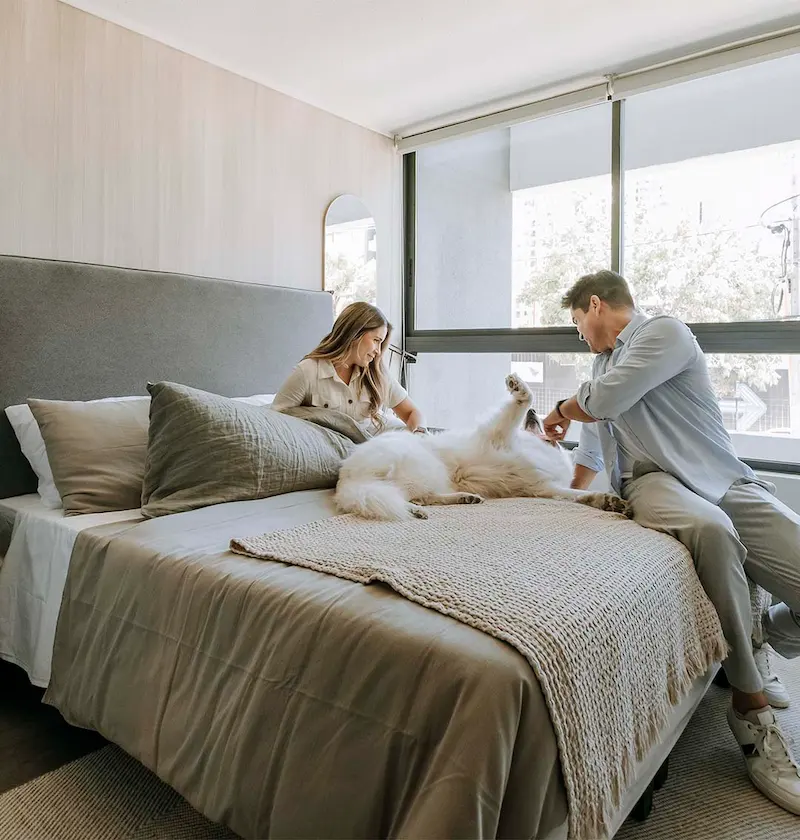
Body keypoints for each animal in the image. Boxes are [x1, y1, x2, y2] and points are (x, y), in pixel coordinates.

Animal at [332, 372, 632, 520]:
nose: (534, 413)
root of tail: (346, 478)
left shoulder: (544, 488)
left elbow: (579, 495)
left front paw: (608, 501)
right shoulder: (500, 434)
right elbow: (521, 401)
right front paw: (519, 388)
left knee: (422, 497)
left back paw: (459, 499)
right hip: (421, 468)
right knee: (402, 495)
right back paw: (416, 509)